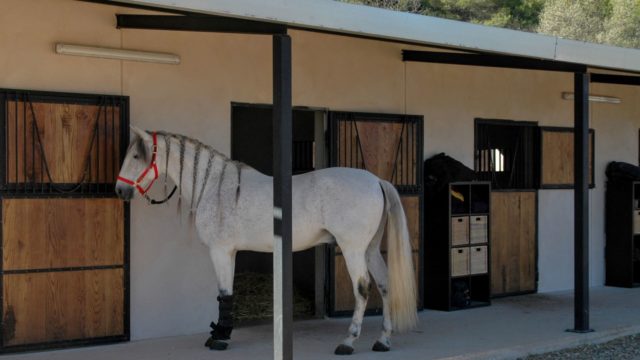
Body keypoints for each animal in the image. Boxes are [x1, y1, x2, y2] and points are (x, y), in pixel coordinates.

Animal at [115, 126, 418, 354]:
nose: (119, 191)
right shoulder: (230, 252)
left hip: (353, 249)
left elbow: (224, 292)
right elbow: (225, 293)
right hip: (369, 249)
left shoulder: (220, 251)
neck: (214, 186)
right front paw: (220, 333)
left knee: (363, 289)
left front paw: (220, 338)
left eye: (135, 156)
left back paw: (348, 342)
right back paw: (383, 340)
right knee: (385, 284)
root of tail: (376, 180)